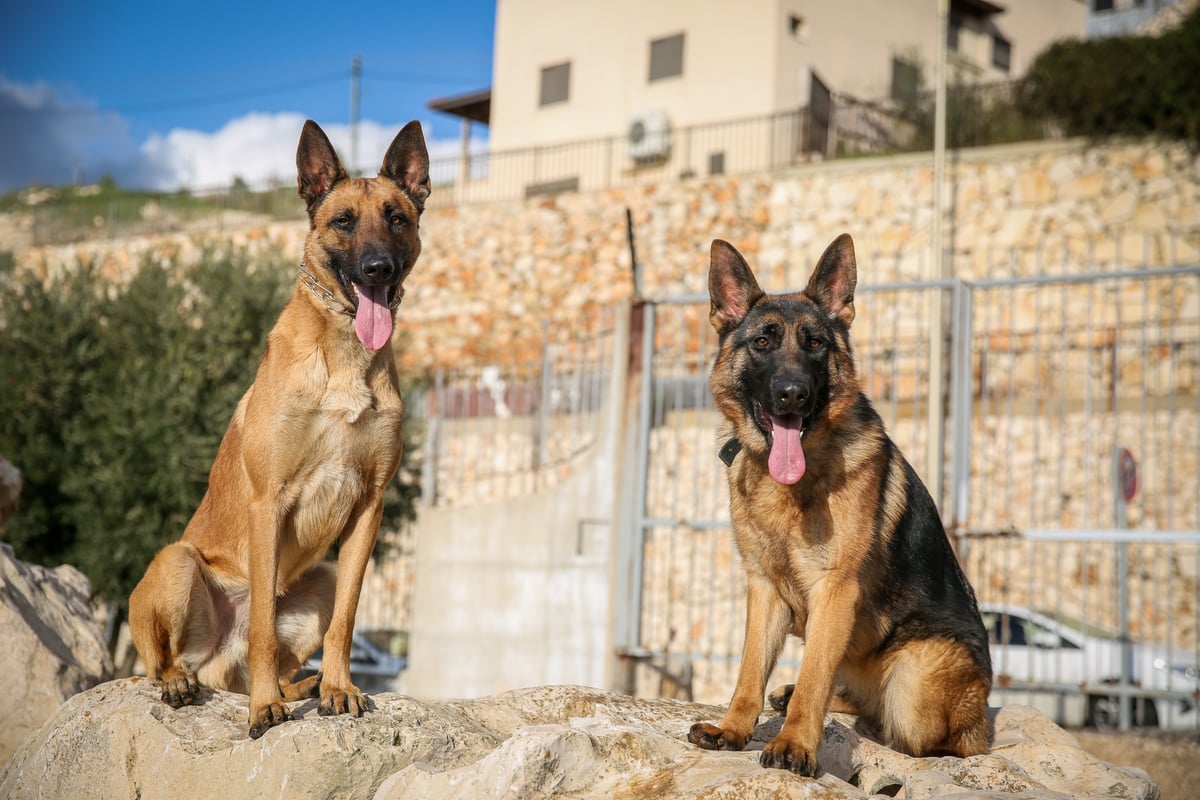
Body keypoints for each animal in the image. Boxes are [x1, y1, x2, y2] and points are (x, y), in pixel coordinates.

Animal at [130, 118, 432, 738]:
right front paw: (265, 706)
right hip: (176, 561)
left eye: (396, 217)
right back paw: (186, 683)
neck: (344, 354)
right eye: (344, 221)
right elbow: (265, 630)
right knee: (164, 662)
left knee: (258, 660)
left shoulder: (370, 507)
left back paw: (307, 685)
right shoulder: (268, 502)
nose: (379, 270)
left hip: (319, 580)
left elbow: (346, 621)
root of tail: (212, 655)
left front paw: (339, 687)